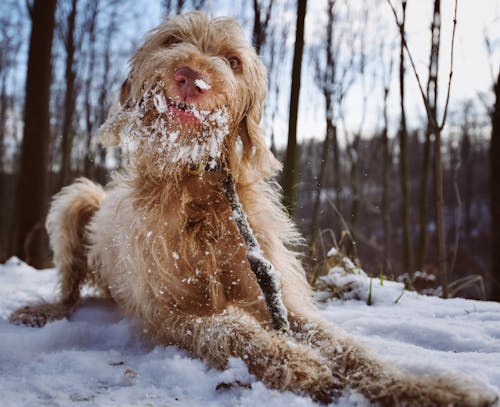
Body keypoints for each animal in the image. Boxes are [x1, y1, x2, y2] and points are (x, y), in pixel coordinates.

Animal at [9, 11, 498, 404]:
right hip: (79, 199)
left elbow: (349, 348)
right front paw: (297, 364)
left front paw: (427, 387)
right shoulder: (169, 311)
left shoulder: (271, 293)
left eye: (232, 62)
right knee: (71, 286)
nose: (192, 77)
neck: (195, 185)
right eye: (172, 40)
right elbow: (231, 330)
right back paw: (45, 311)